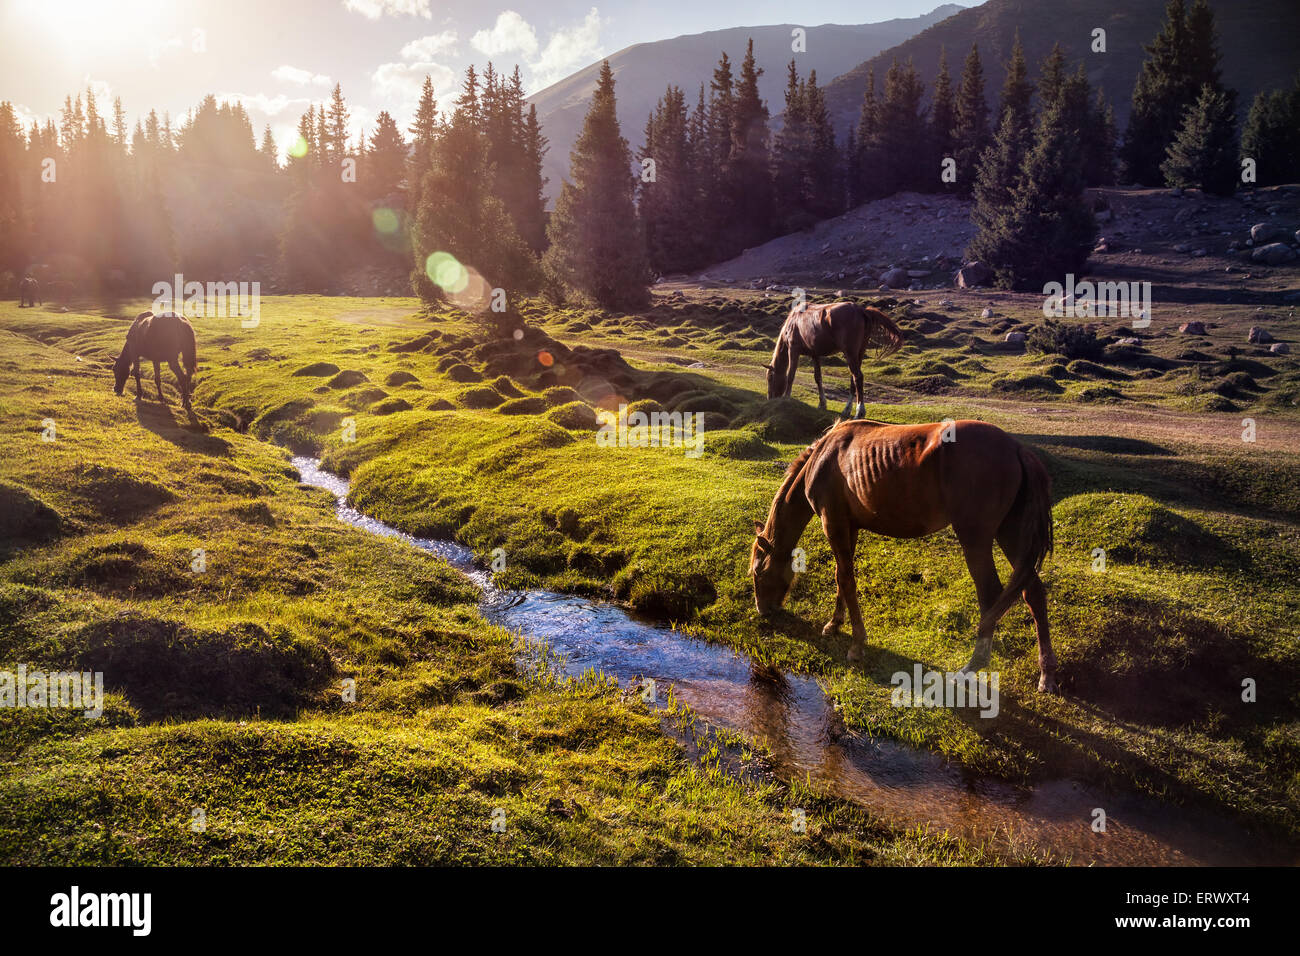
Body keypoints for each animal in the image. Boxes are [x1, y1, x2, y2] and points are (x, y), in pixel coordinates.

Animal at [748, 421, 1060, 691]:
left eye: (758, 572)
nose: (762, 609)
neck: (824, 458)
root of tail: (1017, 448)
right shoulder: (849, 526)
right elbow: (841, 576)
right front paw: (834, 623)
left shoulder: (832, 523)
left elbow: (846, 579)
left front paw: (857, 643)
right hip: (1010, 532)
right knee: (1033, 591)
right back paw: (1046, 673)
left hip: (976, 539)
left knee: (991, 595)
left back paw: (973, 665)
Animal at [759, 300, 904, 416]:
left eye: (770, 378)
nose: (770, 399)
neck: (794, 321)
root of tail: (861, 311)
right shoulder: (815, 354)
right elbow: (818, 378)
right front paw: (822, 403)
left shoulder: (793, 350)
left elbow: (791, 375)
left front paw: (786, 398)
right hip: (859, 353)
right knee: (853, 378)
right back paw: (847, 409)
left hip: (850, 353)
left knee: (858, 377)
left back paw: (859, 411)